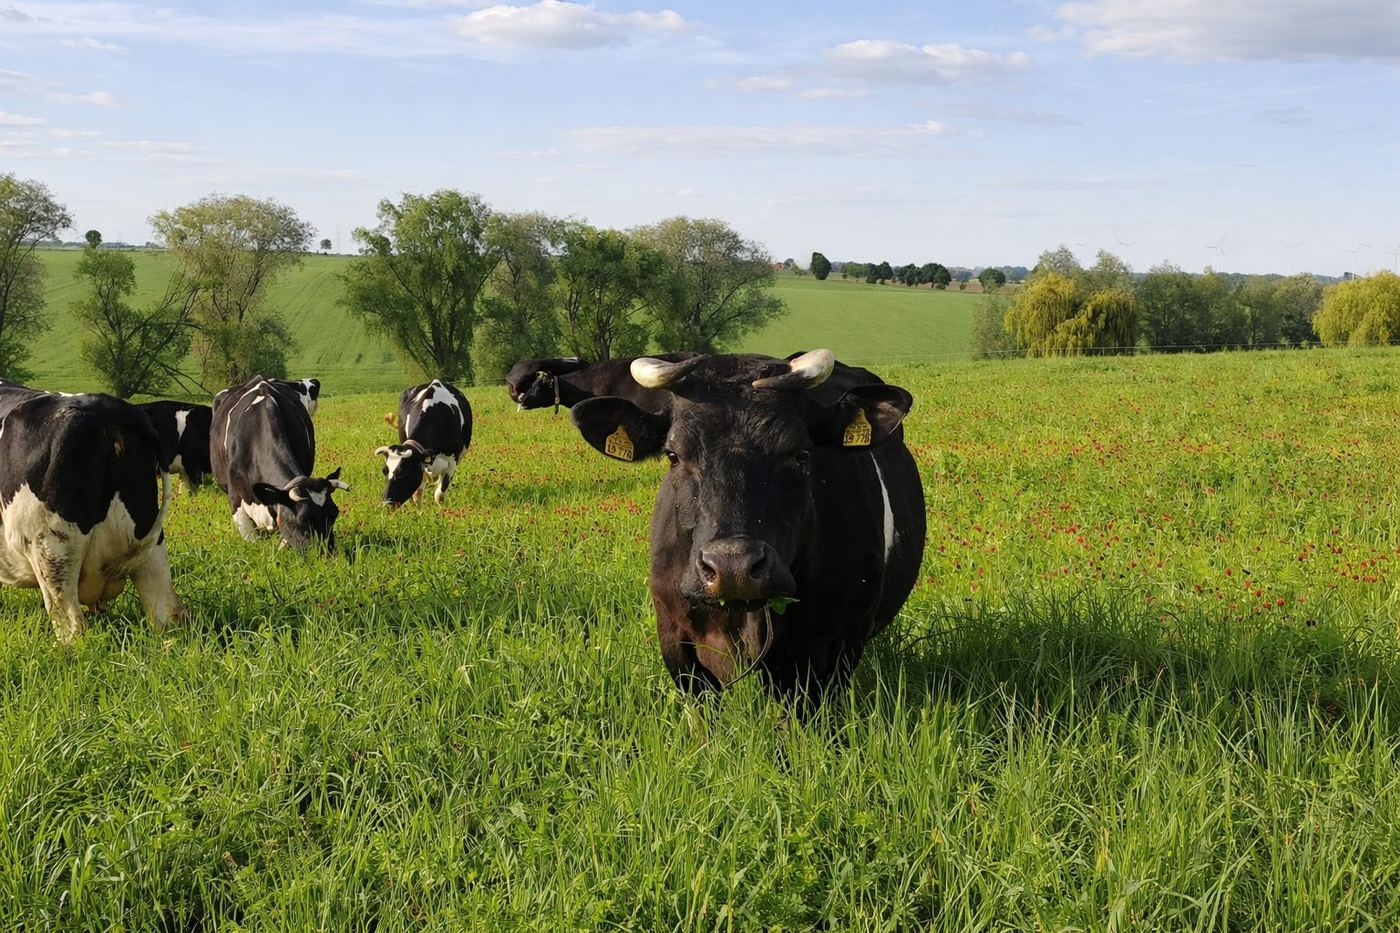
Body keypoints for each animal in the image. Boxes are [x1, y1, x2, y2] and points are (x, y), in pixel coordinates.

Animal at [376, 379, 473, 508]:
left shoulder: (452, 460)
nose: (386, 504)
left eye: (403, 474)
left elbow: (439, 494)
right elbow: (417, 494)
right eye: (384, 471)